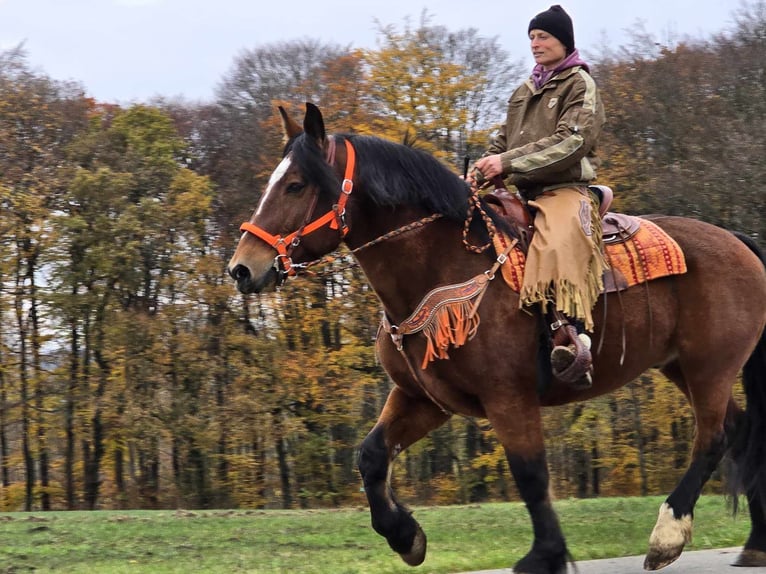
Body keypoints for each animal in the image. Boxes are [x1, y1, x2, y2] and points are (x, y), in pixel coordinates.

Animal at [228, 104, 766, 574]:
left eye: (296, 184)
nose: (242, 268)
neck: (442, 265)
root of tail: (738, 241)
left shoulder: (508, 397)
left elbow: (530, 473)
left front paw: (545, 556)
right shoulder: (424, 397)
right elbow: (372, 455)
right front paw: (406, 537)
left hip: (709, 367)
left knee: (713, 437)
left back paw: (666, 538)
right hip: (682, 367)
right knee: (741, 431)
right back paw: (754, 544)